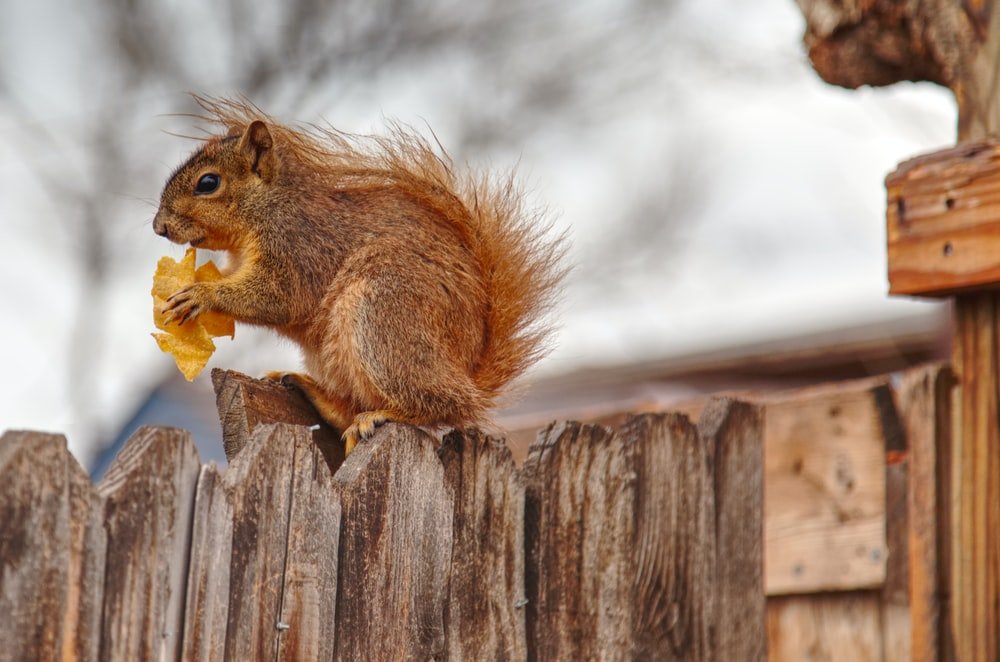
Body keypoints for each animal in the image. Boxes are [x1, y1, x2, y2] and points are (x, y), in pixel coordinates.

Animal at [153, 98, 564, 451]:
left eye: (208, 183)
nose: (159, 227)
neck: (267, 207)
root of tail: (467, 370)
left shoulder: (298, 248)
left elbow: (279, 299)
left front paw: (201, 295)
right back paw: (314, 391)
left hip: (383, 316)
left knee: (444, 406)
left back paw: (382, 416)